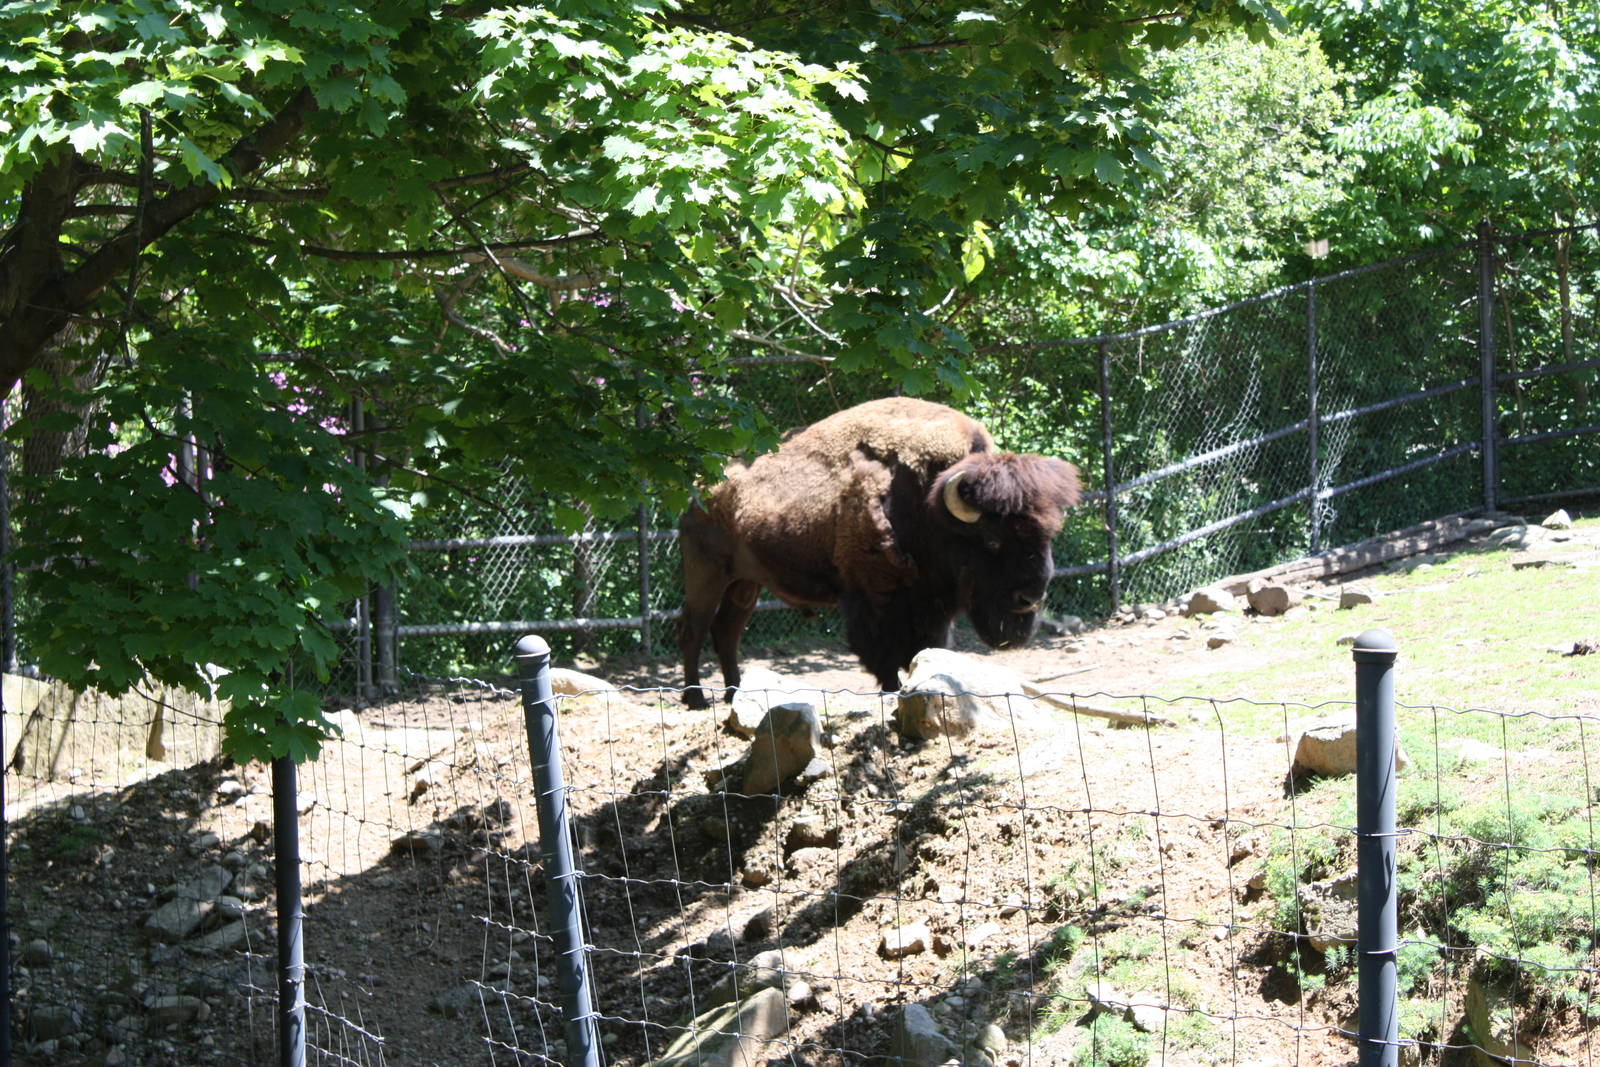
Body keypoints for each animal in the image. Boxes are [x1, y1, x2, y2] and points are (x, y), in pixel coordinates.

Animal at [676, 397, 1081, 707]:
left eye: (1048, 536)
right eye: (991, 539)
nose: (1030, 598)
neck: (928, 505)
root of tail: (698, 492)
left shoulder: (929, 606)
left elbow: (924, 651)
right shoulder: (875, 596)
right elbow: (883, 653)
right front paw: (891, 693)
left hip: (746, 583)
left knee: (726, 631)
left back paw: (733, 694)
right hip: (706, 575)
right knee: (694, 629)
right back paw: (696, 699)